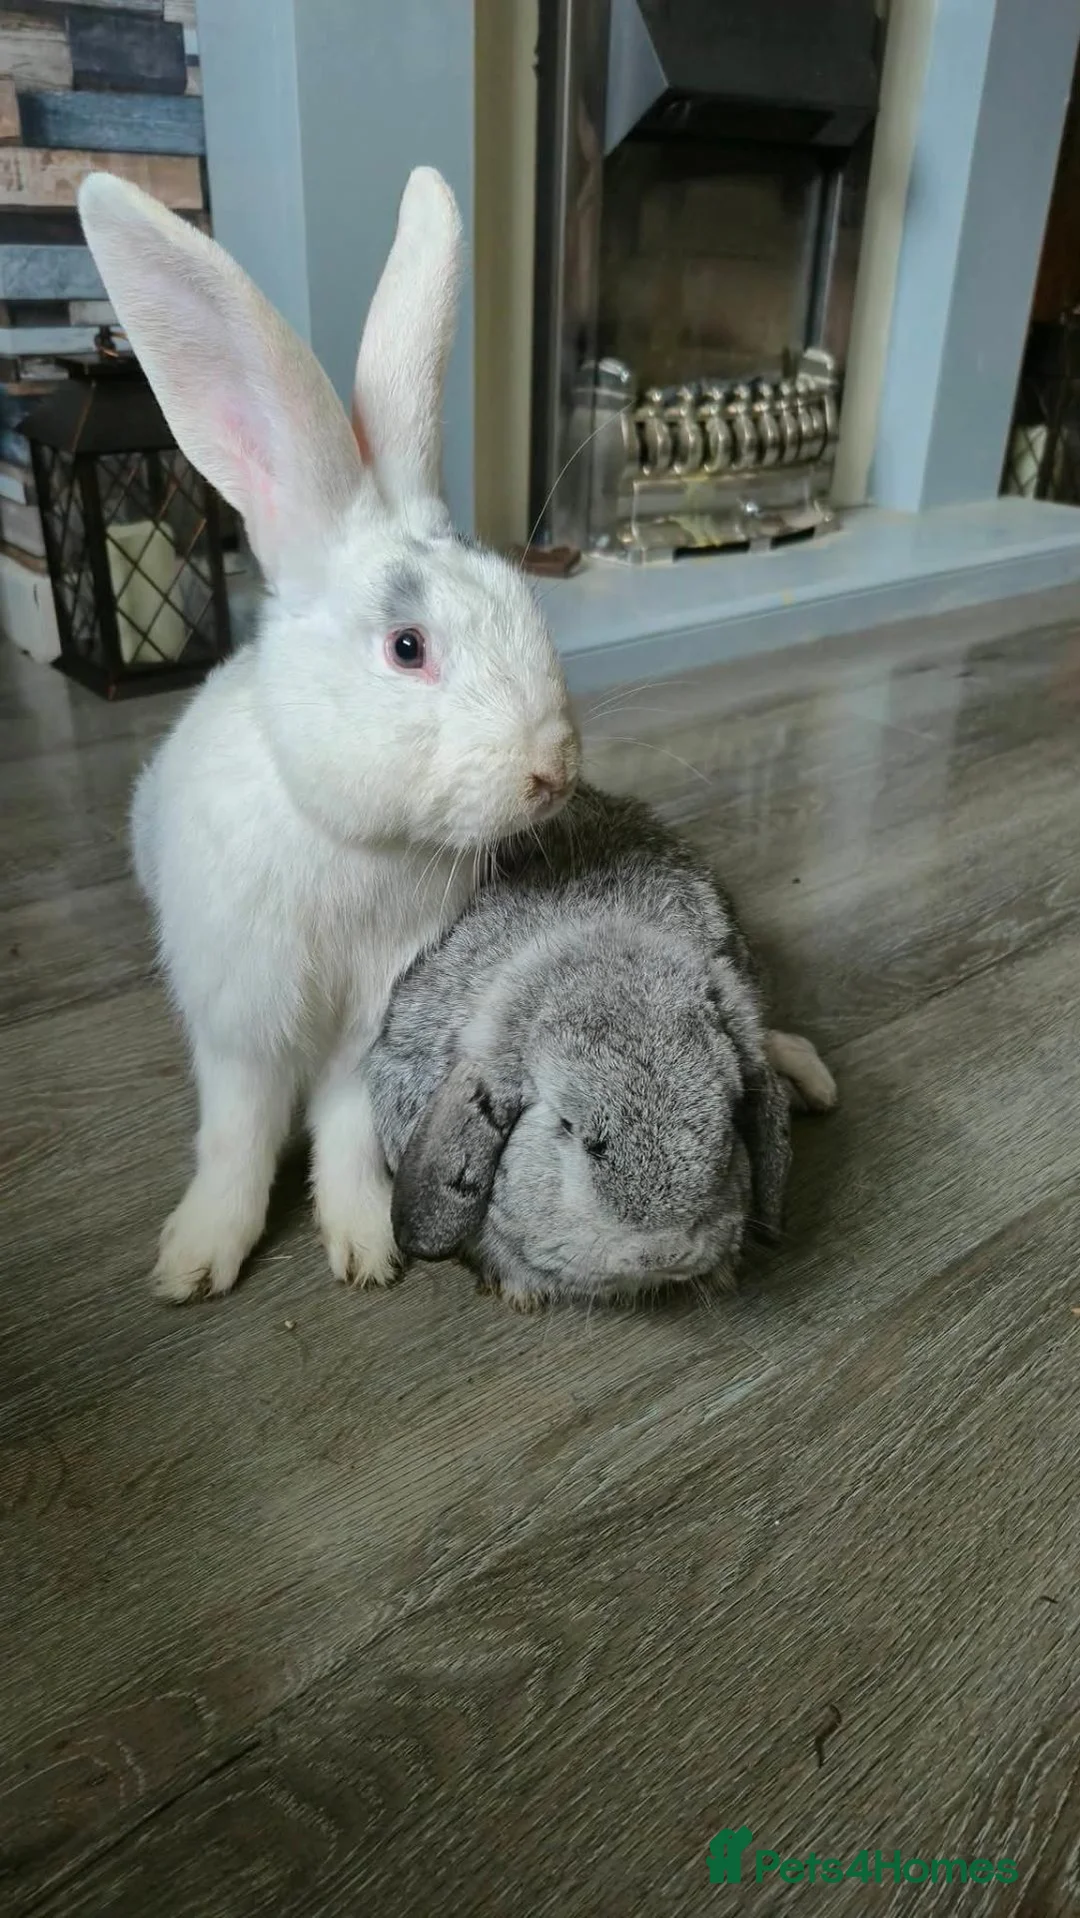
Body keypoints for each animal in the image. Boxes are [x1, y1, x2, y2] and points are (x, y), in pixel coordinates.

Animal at [78, 168, 579, 1303]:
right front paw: (198, 1258)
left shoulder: (369, 1024)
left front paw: (364, 1245)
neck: (349, 842)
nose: (554, 769)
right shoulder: (241, 1023)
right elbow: (237, 1135)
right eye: (407, 647)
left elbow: (347, 1134)